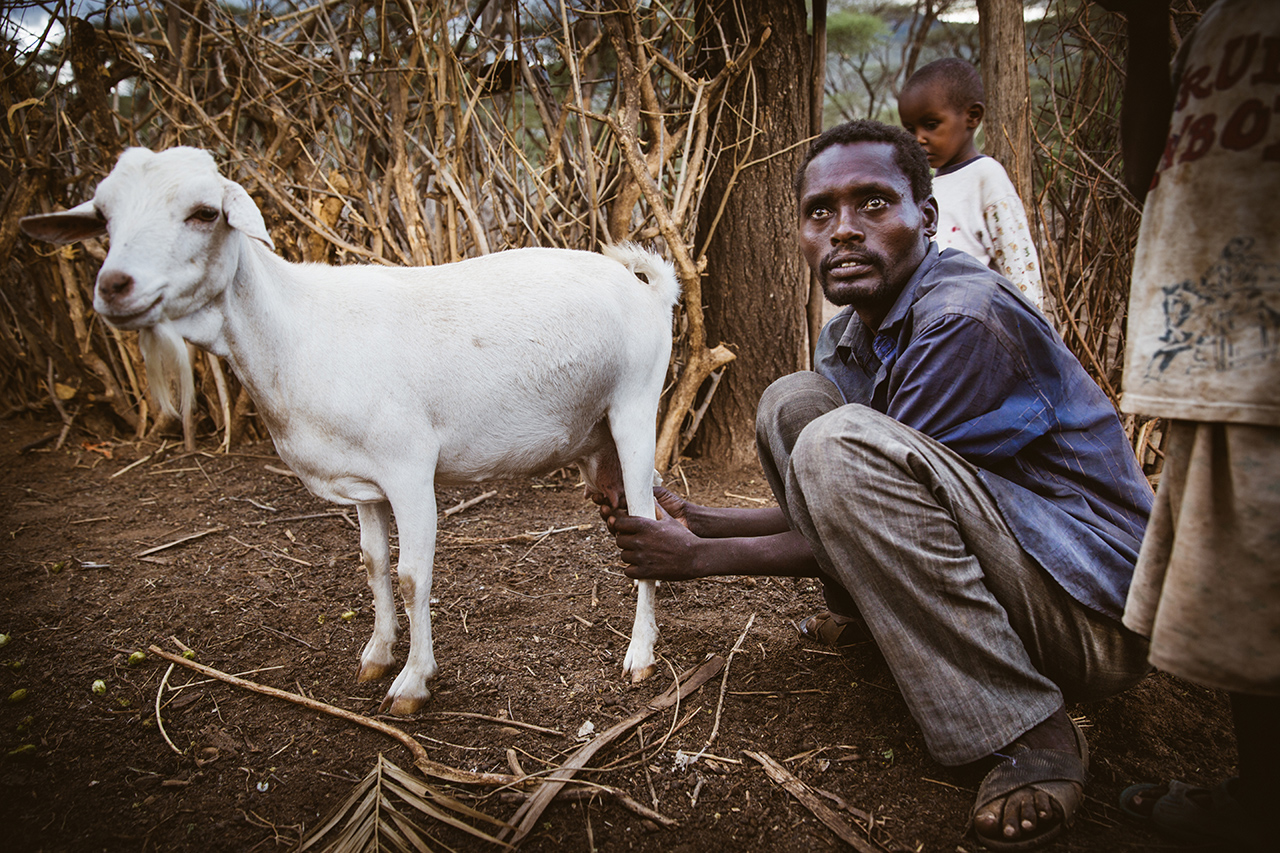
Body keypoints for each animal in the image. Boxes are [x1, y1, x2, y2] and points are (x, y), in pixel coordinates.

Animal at [22, 146, 680, 712]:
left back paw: (640, 656)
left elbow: (412, 574)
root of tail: (649, 290)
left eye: (205, 212)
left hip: (635, 405)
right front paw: (376, 655)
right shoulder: (363, 481)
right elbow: (371, 562)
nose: (114, 287)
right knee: (640, 517)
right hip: (596, 442)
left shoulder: (410, 468)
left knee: (645, 517)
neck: (300, 328)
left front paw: (413, 682)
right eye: (103, 215)